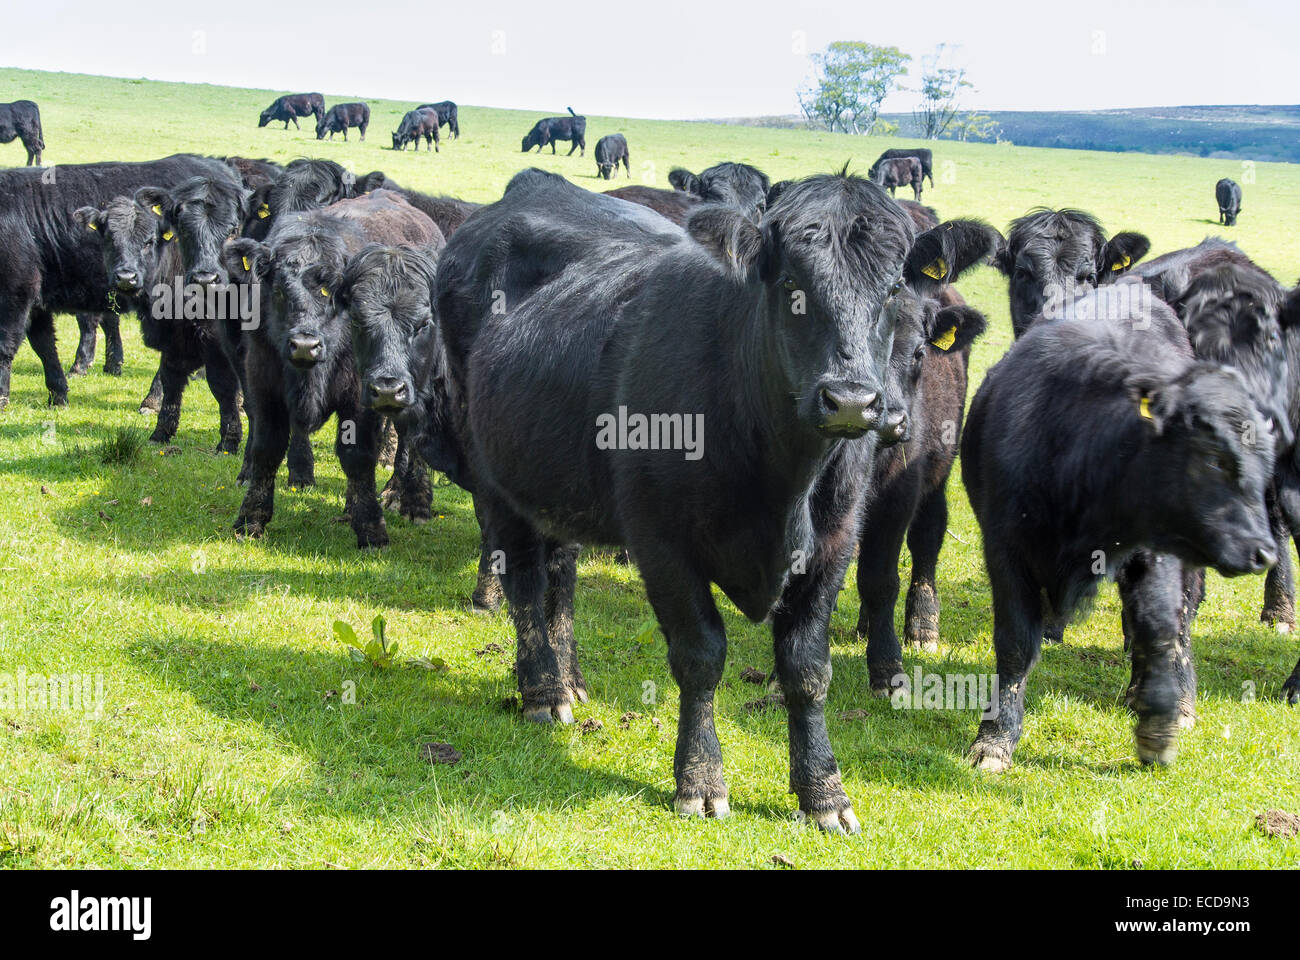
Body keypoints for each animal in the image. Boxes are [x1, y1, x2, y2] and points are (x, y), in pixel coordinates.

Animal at [73, 195, 243, 452]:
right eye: (110, 239)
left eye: (149, 241)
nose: (126, 277)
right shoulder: (172, 341)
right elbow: (171, 383)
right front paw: (161, 432)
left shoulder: (214, 343)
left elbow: (222, 387)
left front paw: (228, 441)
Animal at [223, 188, 447, 546]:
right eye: (278, 289)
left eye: (331, 292)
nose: (304, 344)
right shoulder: (262, 382)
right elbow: (266, 448)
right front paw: (250, 519)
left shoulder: (361, 396)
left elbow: (357, 456)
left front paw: (371, 529)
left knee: (410, 436)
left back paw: (410, 500)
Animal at [439, 170, 925, 832]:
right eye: (791, 284)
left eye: (895, 288)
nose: (851, 400)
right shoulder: (662, 542)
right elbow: (700, 656)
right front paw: (700, 780)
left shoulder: (835, 543)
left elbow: (807, 669)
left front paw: (824, 792)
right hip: (495, 473)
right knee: (525, 583)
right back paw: (542, 690)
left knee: (561, 577)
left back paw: (571, 681)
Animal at [961, 283, 1274, 770]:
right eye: (1214, 457)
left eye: (1264, 464)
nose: (1264, 552)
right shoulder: (1005, 548)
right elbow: (1015, 644)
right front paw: (995, 739)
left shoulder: (1153, 551)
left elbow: (1159, 628)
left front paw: (1158, 726)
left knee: (1181, 619)